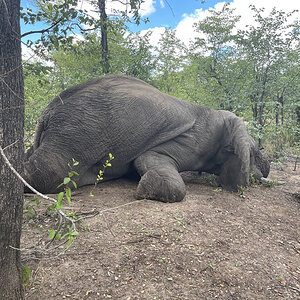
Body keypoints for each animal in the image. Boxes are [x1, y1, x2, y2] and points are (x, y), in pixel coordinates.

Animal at [24, 74, 270, 203]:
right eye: (254, 152)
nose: (266, 169)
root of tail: (46, 113)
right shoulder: (195, 140)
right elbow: (147, 157)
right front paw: (144, 191)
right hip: (78, 129)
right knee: (48, 172)